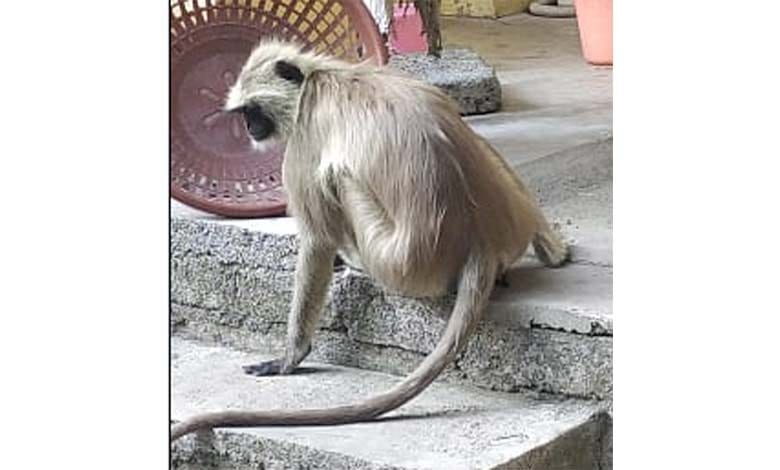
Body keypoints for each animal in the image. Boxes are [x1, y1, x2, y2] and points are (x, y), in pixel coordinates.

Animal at [170, 40, 568, 441]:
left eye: (252, 110)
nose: (250, 128)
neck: (321, 77)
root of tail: (481, 240)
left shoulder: (305, 136)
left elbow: (316, 241)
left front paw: (292, 356)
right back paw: (548, 247)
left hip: (396, 261)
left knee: (335, 177)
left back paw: (354, 260)